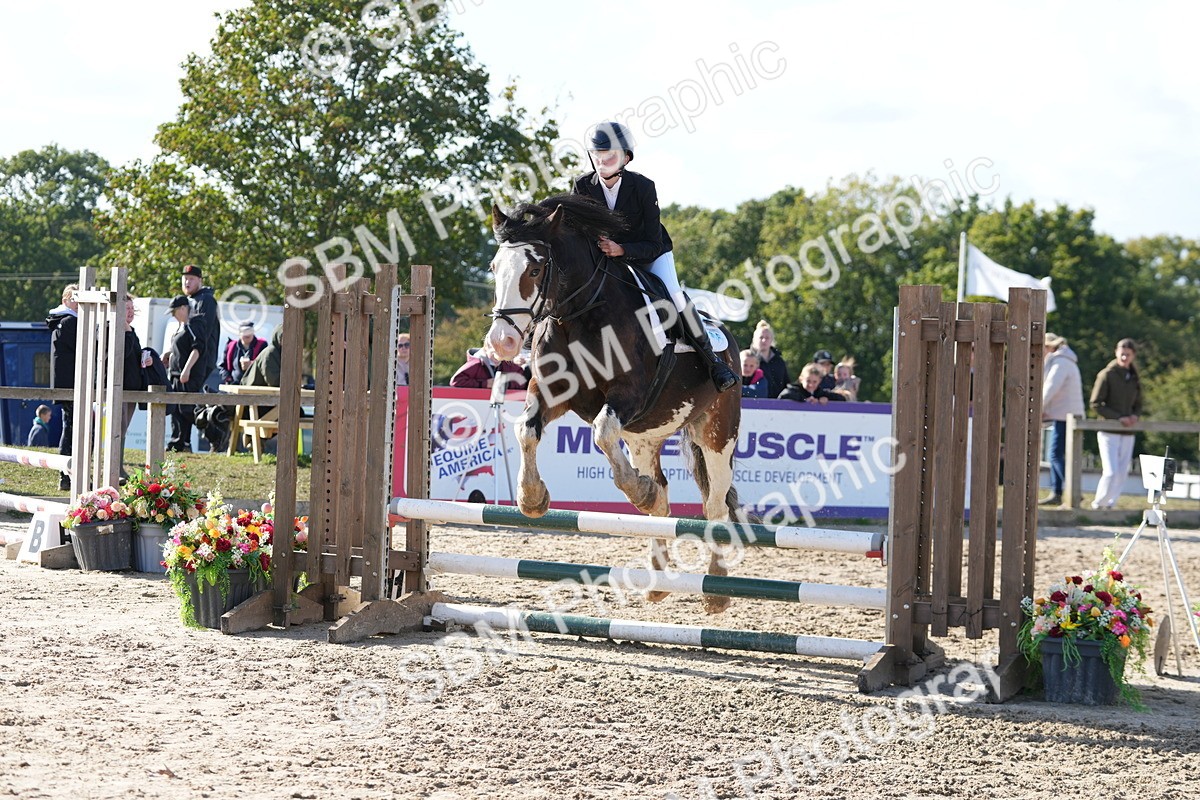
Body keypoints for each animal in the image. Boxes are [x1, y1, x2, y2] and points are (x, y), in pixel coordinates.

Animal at [485, 194, 744, 613]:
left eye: (536, 269)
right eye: (494, 268)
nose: (502, 343)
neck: (580, 314)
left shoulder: (628, 394)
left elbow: (602, 432)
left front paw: (637, 492)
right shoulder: (552, 393)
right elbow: (526, 430)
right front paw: (532, 499)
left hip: (719, 431)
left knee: (716, 503)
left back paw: (717, 589)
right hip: (645, 436)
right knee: (662, 492)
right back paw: (657, 580)